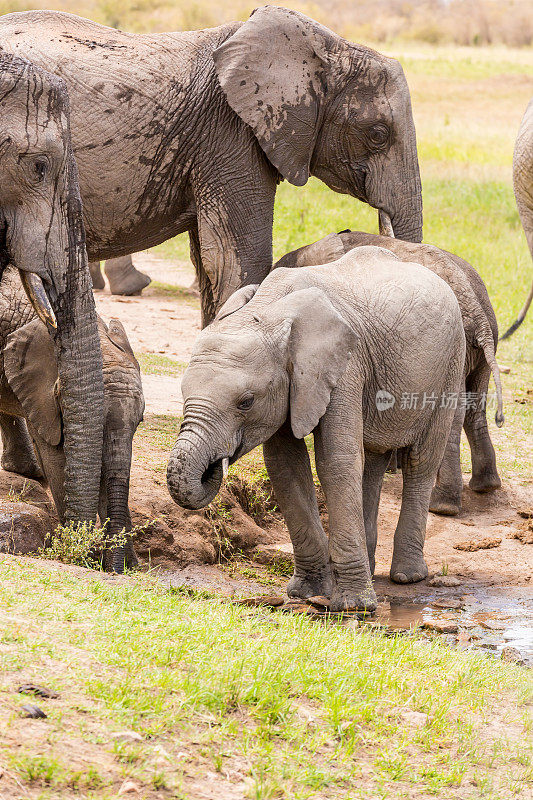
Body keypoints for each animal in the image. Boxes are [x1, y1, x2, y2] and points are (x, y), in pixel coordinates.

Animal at [0, 266, 144, 572]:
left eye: (140, 421)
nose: (116, 568)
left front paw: (127, 565)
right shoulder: (40, 393)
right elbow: (56, 457)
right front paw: (83, 556)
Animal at [167, 247, 466, 608]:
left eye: (246, 402)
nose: (214, 466)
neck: (268, 311)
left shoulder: (345, 367)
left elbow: (335, 462)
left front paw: (353, 607)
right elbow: (285, 466)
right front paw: (306, 593)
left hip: (450, 363)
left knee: (420, 462)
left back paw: (407, 576)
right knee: (372, 459)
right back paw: (370, 566)